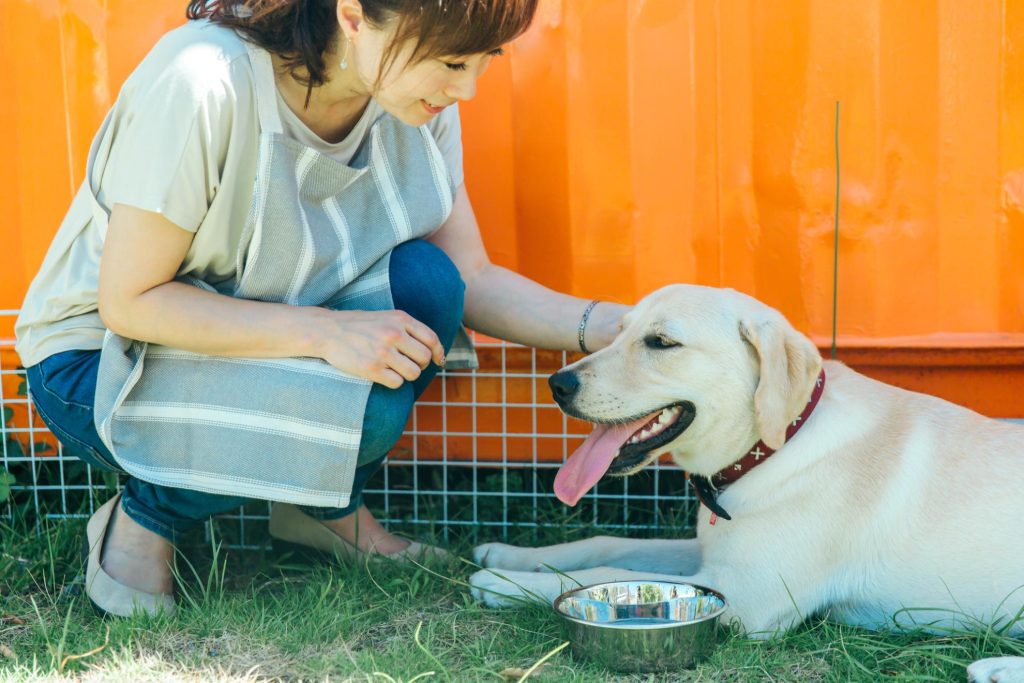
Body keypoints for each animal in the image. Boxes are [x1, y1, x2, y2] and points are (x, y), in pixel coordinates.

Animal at [468, 286, 1024, 679]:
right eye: (618, 332)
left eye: (661, 342)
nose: (557, 384)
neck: (776, 446)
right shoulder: (713, 554)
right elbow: (606, 544)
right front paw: (509, 555)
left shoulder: (747, 594)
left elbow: (603, 574)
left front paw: (505, 582)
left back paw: (997, 667)